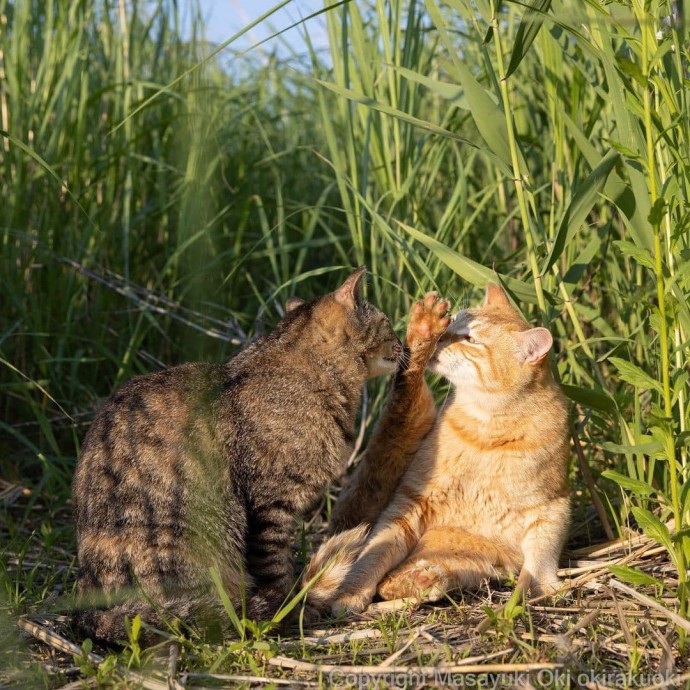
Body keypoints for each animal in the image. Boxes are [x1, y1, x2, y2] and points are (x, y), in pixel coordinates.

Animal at [72, 268, 400, 640]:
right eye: (388, 323)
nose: (402, 343)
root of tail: (87, 604)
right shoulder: (270, 503)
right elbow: (275, 569)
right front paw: (289, 609)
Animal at [306, 282, 568, 612]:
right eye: (453, 322)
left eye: (471, 339)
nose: (441, 336)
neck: (486, 431)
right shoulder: (409, 502)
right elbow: (371, 558)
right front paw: (349, 593)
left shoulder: (552, 506)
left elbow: (541, 558)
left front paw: (538, 589)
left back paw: (424, 580)